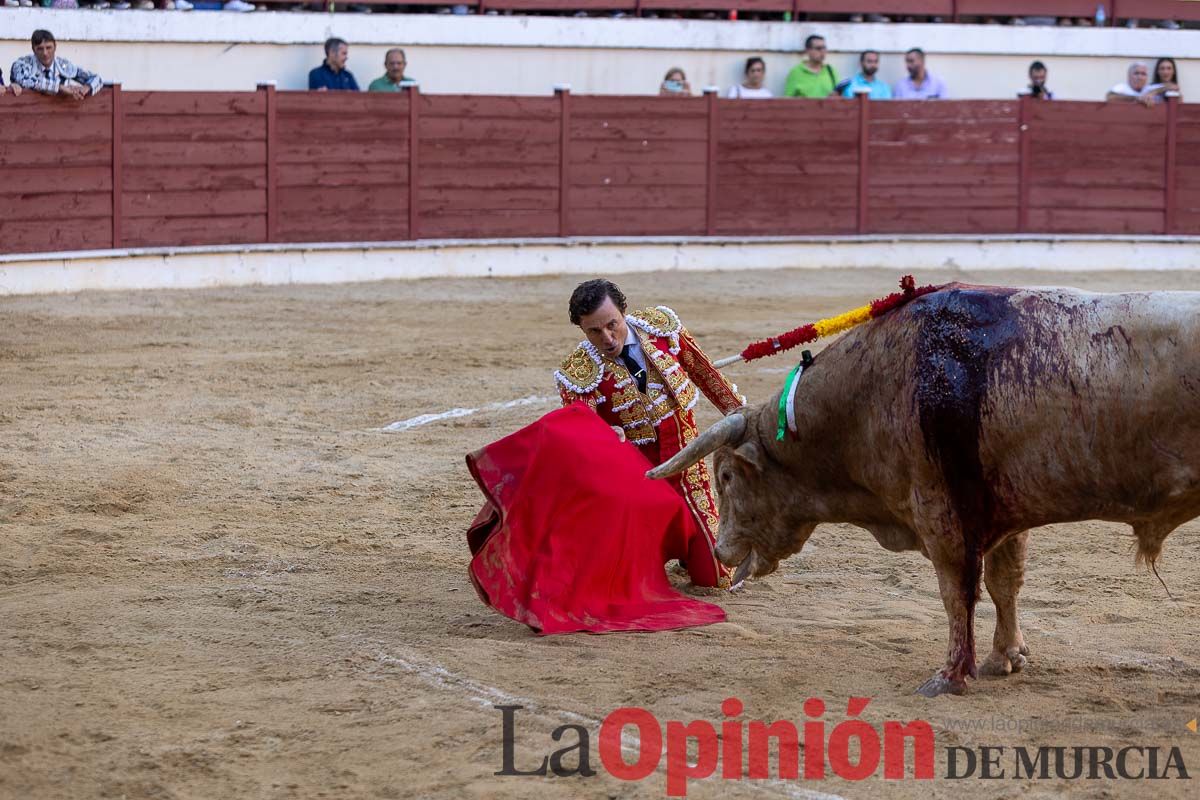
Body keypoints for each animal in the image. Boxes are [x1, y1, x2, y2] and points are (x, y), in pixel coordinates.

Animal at [652, 286, 1195, 695]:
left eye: (726, 476)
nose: (719, 550)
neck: (870, 393)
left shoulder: (943, 516)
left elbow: (956, 592)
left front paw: (949, 676)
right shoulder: (1004, 513)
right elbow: (1004, 583)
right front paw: (1005, 657)